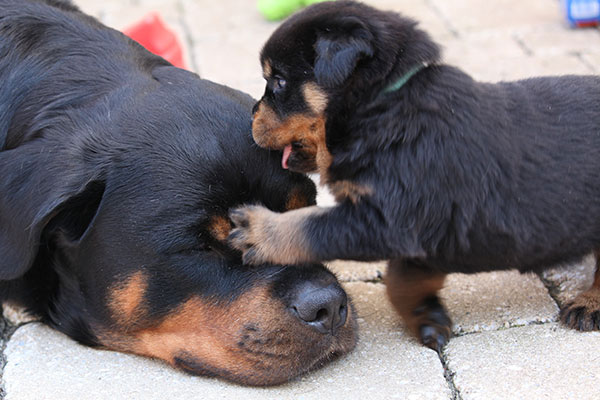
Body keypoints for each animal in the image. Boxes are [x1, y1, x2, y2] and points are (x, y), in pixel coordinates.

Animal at [228, 0, 600, 351]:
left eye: (278, 81)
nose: (252, 114)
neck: (383, 103)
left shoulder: (390, 218)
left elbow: (312, 227)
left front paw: (260, 231)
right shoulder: (422, 238)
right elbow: (402, 280)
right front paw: (428, 317)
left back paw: (589, 304)